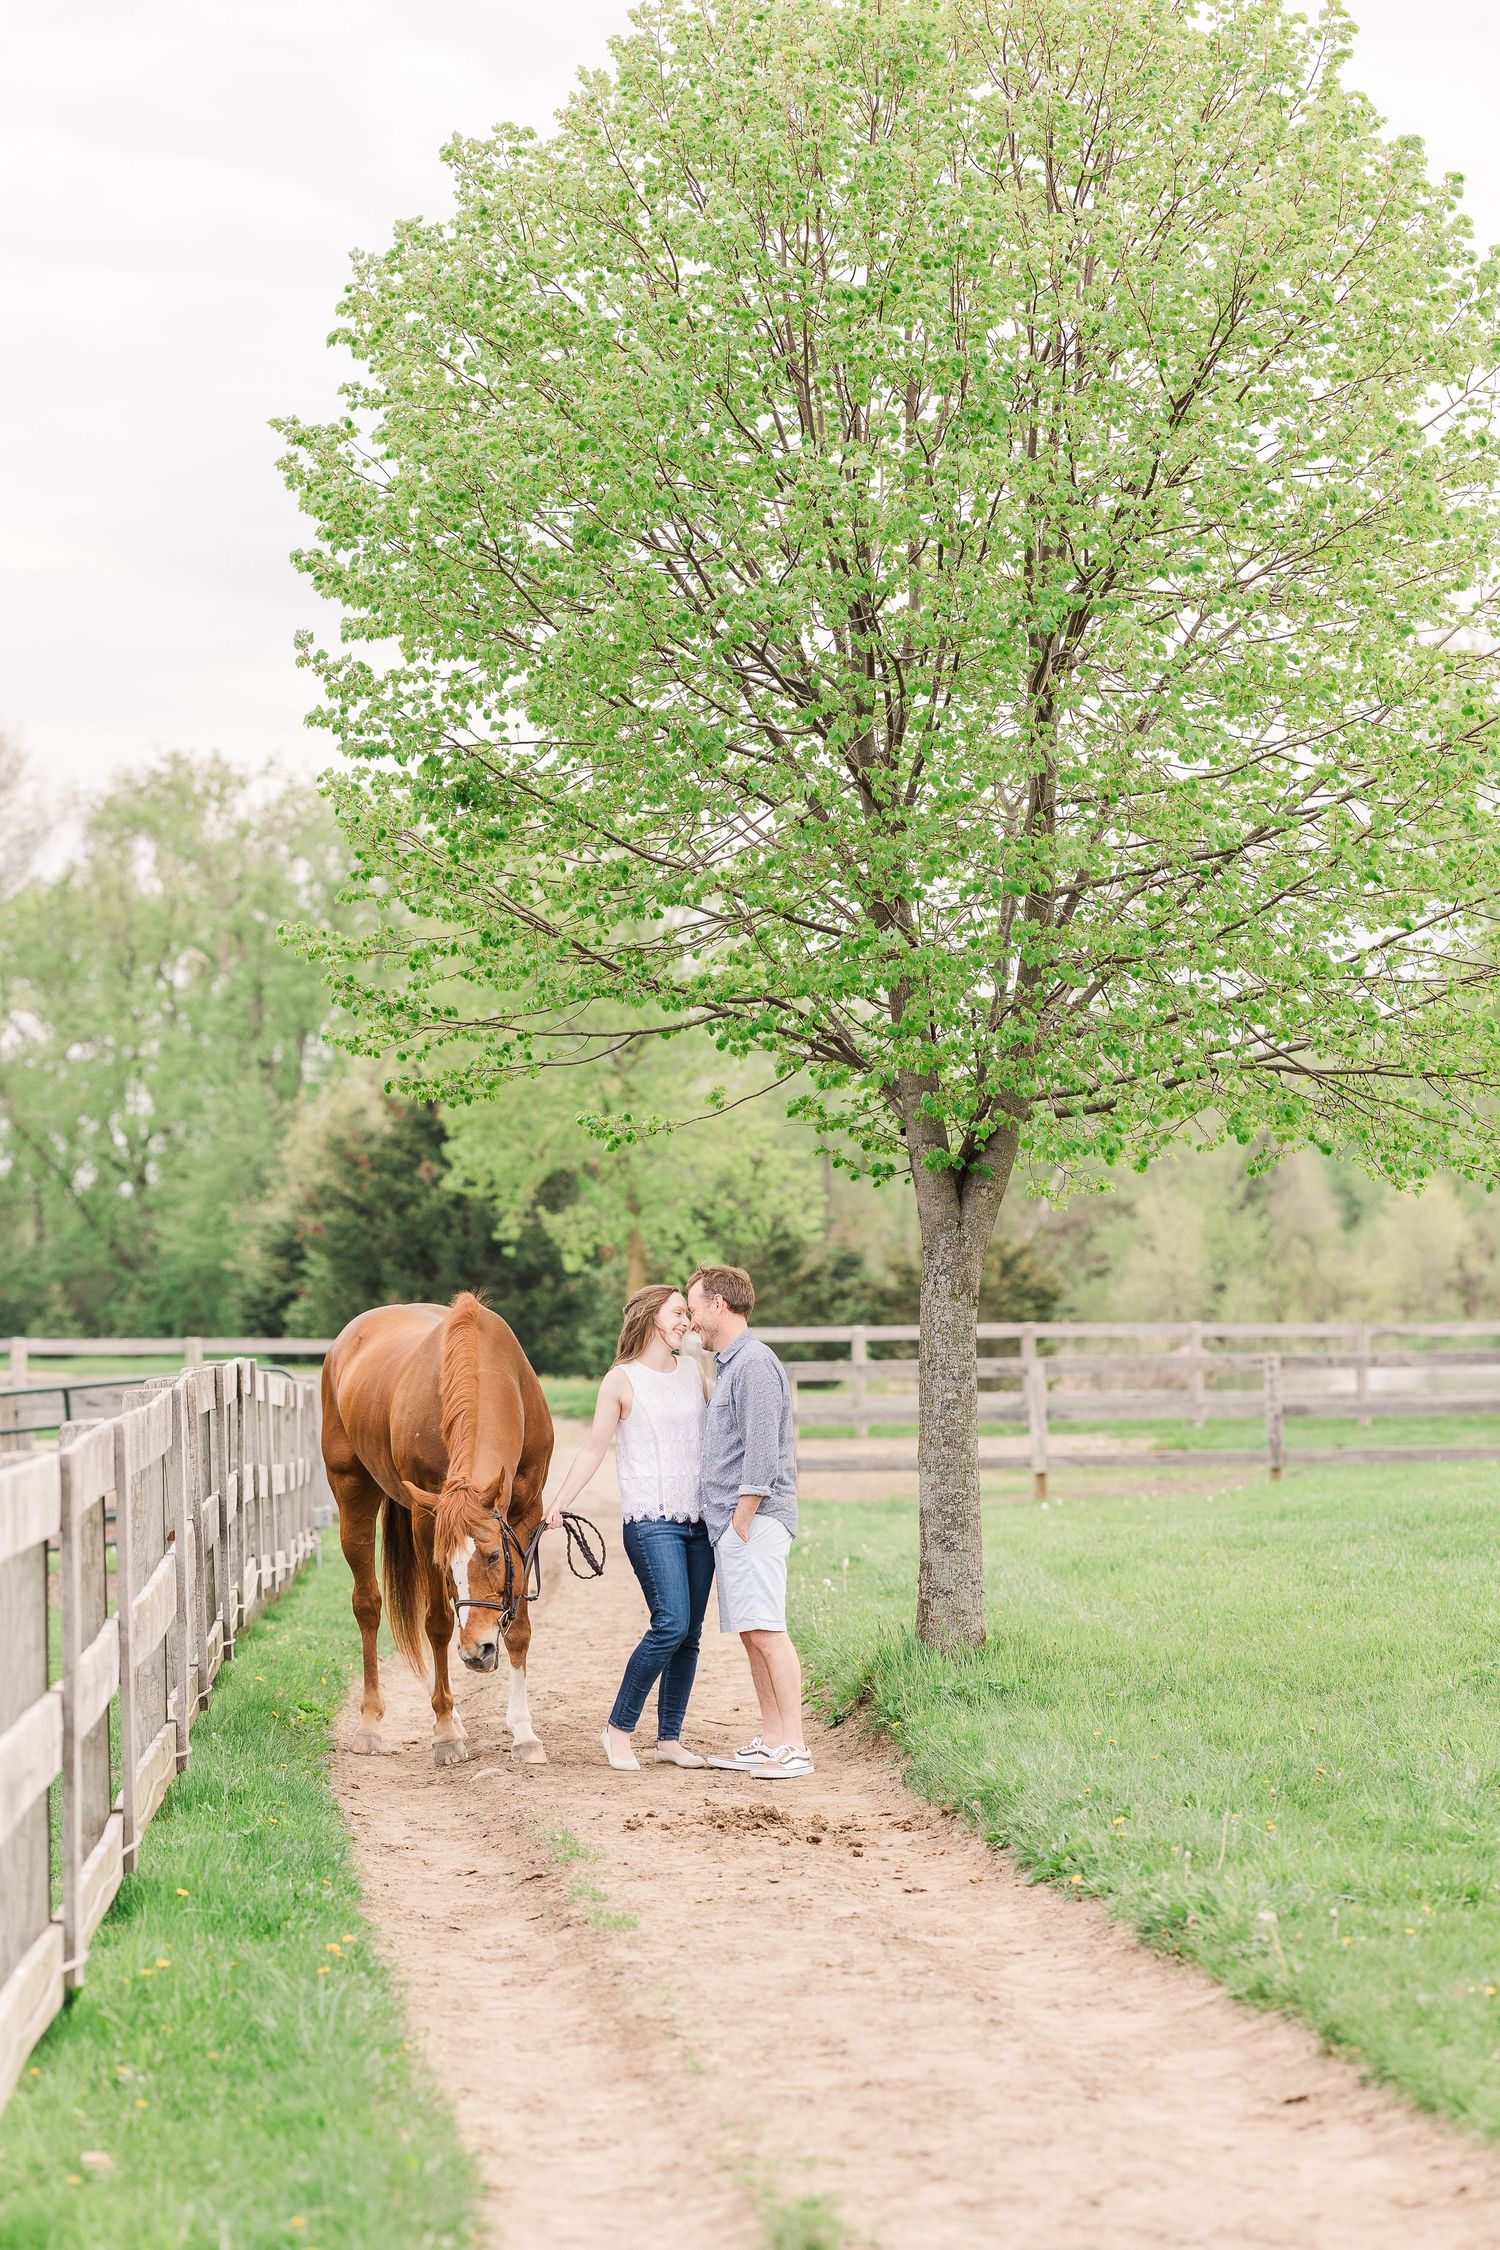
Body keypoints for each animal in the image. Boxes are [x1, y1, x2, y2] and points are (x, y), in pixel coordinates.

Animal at [319, 1292, 555, 1768]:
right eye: (446, 1564)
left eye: (495, 1556)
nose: (478, 1652)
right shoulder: (427, 1521)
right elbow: (438, 1624)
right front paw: (445, 1732)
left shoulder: (526, 1512)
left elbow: (520, 1625)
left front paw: (523, 1733)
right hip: (353, 1496)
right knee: (369, 1607)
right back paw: (372, 1723)